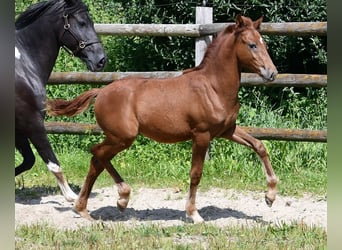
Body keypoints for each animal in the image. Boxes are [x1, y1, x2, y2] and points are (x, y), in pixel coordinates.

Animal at [15, 0, 106, 200]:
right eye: (82, 23)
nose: (101, 60)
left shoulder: (18, 128)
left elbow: (28, 161)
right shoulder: (32, 122)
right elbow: (53, 163)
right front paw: (71, 196)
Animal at [47, 15, 278, 223]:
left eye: (263, 43)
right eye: (252, 45)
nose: (272, 73)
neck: (213, 87)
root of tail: (101, 92)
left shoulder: (227, 130)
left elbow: (260, 146)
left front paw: (270, 196)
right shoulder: (201, 135)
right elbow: (196, 173)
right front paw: (194, 214)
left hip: (118, 138)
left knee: (97, 159)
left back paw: (90, 207)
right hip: (123, 137)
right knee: (97, 153)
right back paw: (115, 199)